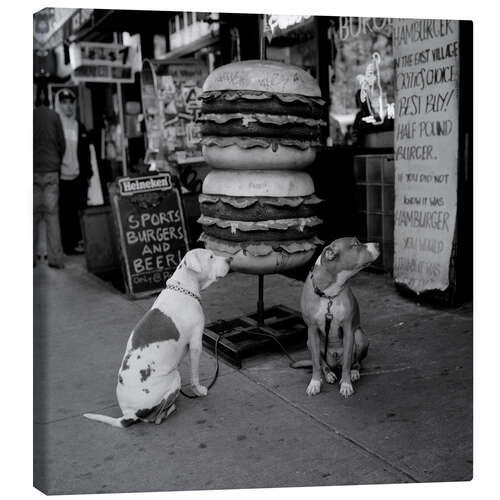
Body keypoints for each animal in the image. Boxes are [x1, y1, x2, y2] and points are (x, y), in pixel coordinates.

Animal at [83, 248, 231, 428]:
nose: (230, 260)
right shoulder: (196, 344)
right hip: (175, 377)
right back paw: (170, 409)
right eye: (210, 257)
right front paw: (199, 391)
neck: (183, 288)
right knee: (157, 417)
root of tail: (128, 414)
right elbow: (194, 376)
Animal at [298, 237, 376, 398]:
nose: (377, 244)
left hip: (360, 336)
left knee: (355, 362)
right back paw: (328, 374)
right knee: (323, 364)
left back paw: (354, 372)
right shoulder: (312, 330)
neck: (329, 293)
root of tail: (335, 363)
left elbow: (347, 361)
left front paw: (346, 384)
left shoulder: (348, 330)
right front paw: (315, 383)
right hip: (309, 342)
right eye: (355, 244)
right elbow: (316, 363)